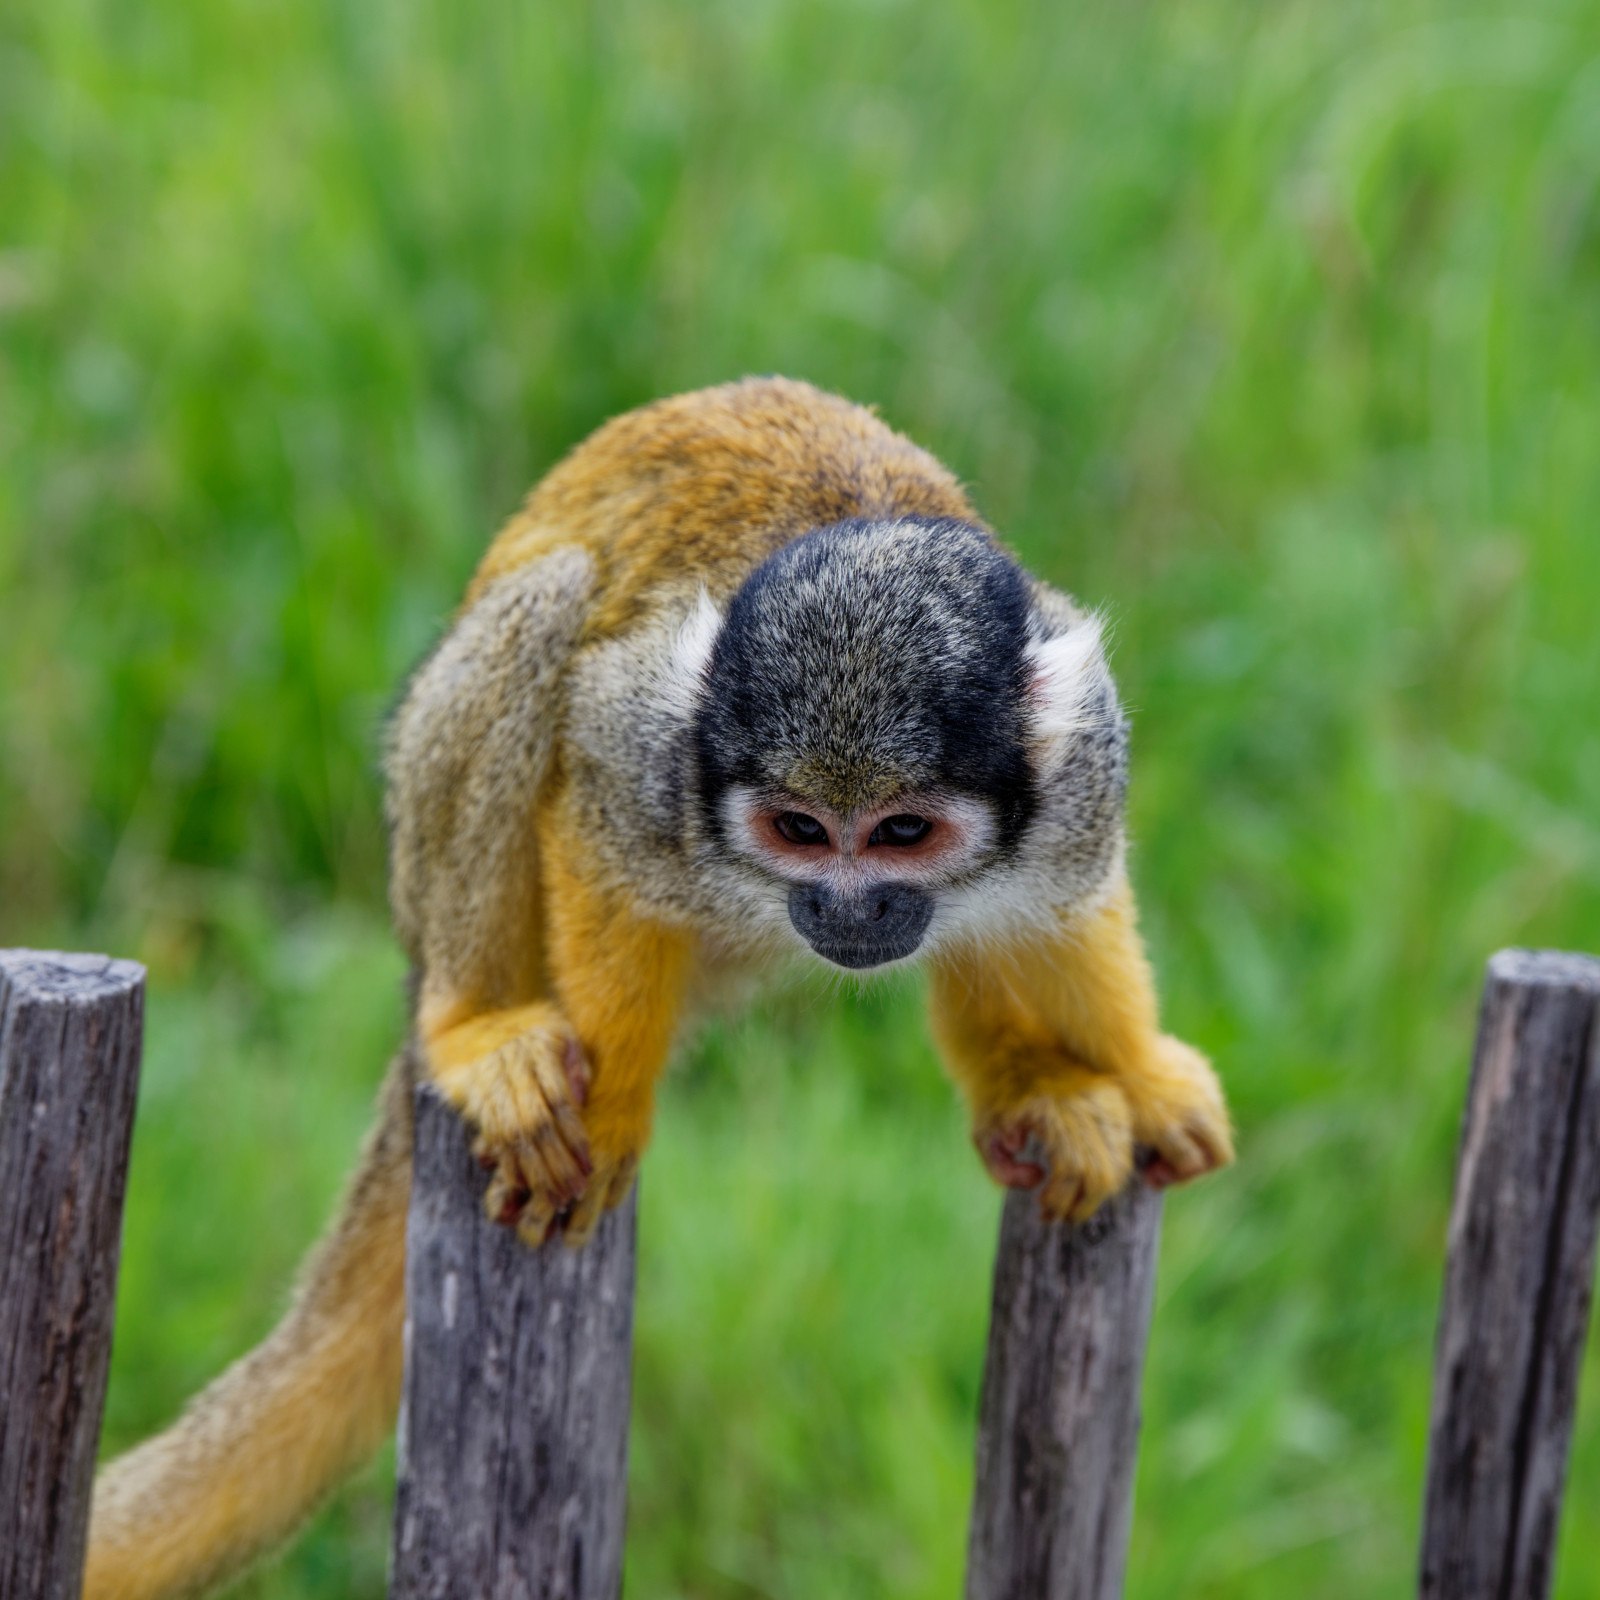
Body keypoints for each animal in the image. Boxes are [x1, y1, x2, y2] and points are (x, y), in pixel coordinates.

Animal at [84, 375, 1232, 1600]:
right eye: (800, 829)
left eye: (903, 833)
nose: (848, 910)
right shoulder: (645, 743)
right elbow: (601, 830)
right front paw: (609, 1110)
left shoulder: (1081, 757)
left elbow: (1066, 905)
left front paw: (1135, 1069)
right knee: (545, 604)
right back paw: (472, 1022)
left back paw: (1028, 1086)